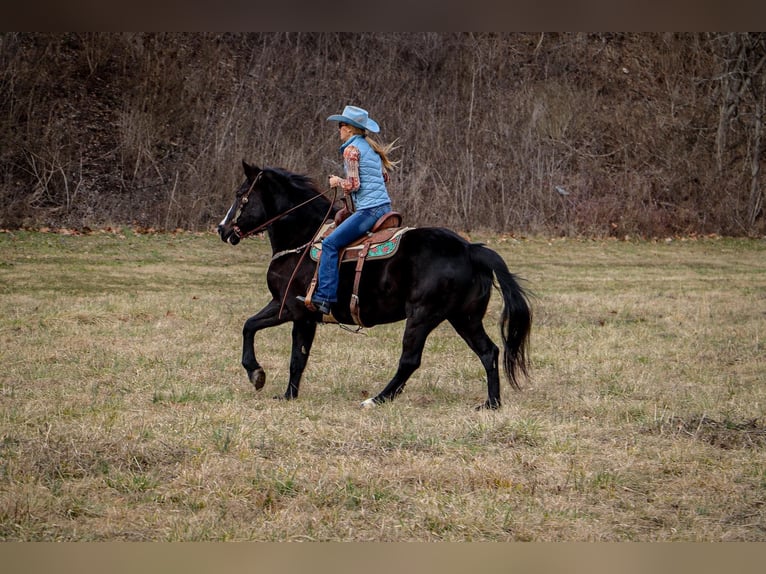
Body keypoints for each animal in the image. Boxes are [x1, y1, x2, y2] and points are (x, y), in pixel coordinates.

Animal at [218, 162, 536, 410]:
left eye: (240, 195)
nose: (222, 229)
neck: (304, 238)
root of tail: (471, 249)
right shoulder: (301, 315)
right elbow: (296, 355)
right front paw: (287, 395)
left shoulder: (289, 308)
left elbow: (250, 327)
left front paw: (256, 373)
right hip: (464, 318)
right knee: (489, 352)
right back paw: (491, 403)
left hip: (423, 316)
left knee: (410, 360)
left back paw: (376, 399)